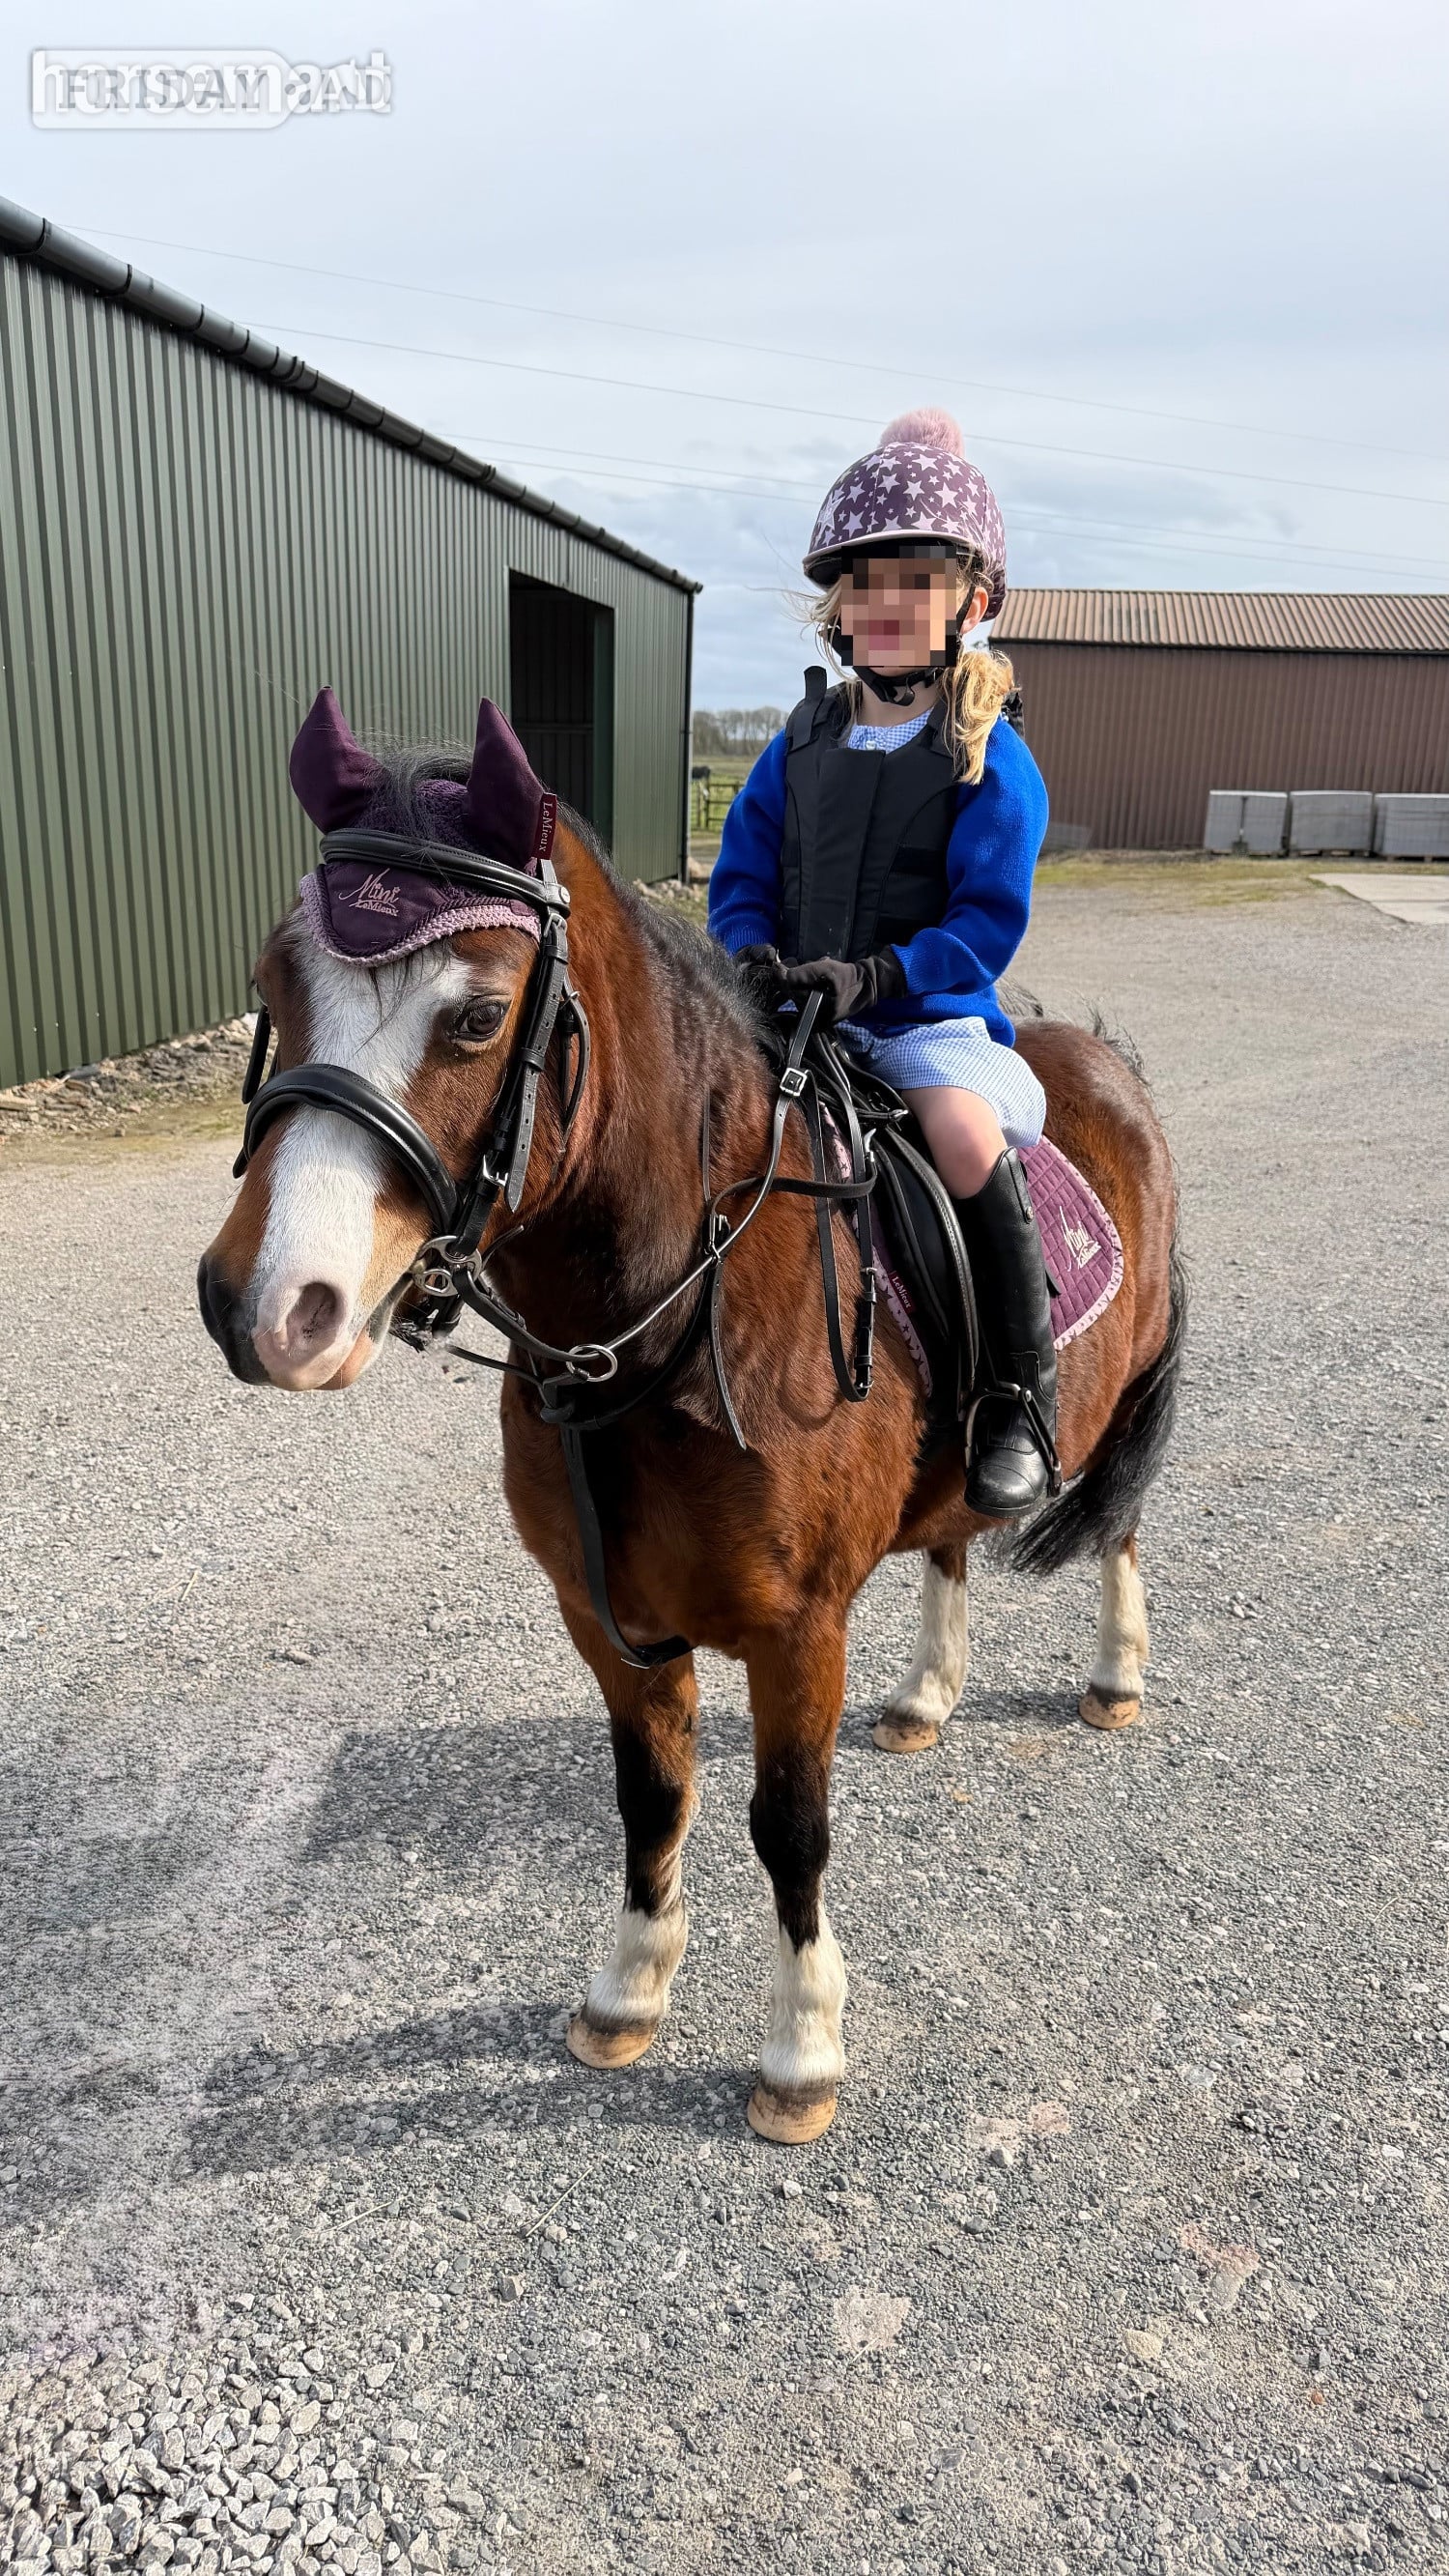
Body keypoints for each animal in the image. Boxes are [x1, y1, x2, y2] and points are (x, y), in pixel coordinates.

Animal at [198, 691, 1184, 2148]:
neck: (665, 1326)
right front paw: (627, 1988)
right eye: (275, 982)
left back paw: (1115, 1675)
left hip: (1117, 1393)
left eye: (477, 1017)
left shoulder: (797, 1628)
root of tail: (1105, 1058)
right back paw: (926, 1695)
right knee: (953, 1533)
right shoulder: (610, 1617)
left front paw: (803, 2046)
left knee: (1116, 1522)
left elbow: (790, 1825)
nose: (265, 1305)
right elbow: (652, 1794)